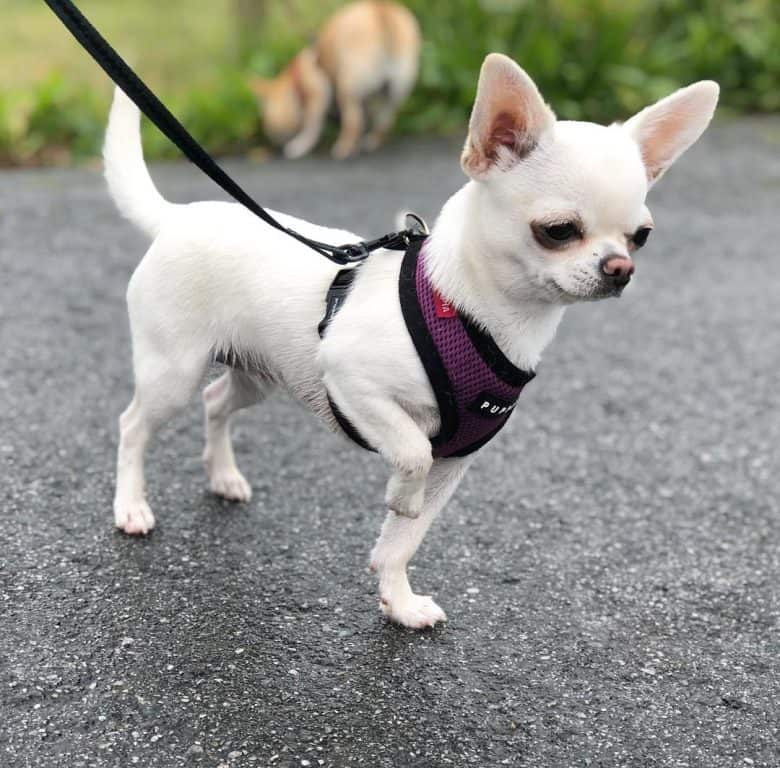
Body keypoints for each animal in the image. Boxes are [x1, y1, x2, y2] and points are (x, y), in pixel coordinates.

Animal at [250, 1, 420, 160]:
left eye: (268, 124)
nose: (272, 140)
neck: (296, 82)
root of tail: (381, 10)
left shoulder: (318, 93)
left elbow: (312, 125)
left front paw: (300, 146)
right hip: (397, 89)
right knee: (385, 120)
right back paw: (370, 141)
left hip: (347, 85)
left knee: (354, 123)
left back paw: (342, 148)